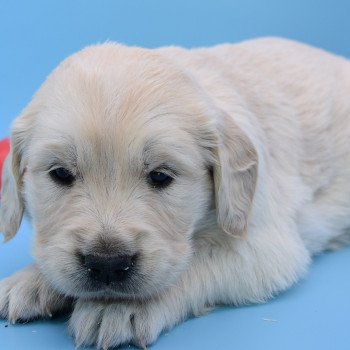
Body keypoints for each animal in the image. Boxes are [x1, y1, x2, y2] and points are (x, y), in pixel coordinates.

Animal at [0, 37, 350, 348]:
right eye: (60, 173)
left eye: (160, 176)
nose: (108, 264)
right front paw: (30, 282)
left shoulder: (264, 245)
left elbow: (191, 265)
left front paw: (117, 306)